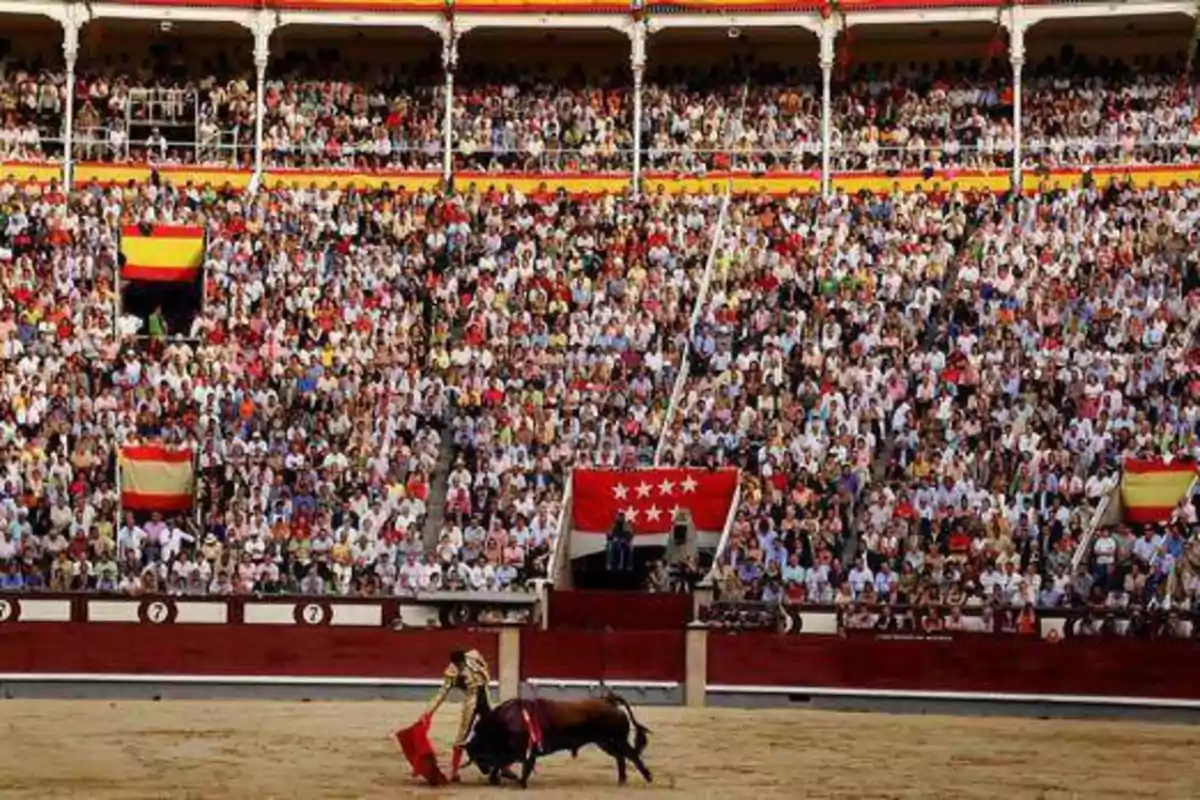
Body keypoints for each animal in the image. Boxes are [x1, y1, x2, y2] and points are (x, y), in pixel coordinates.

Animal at [460, 690, 652, 786]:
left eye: (478, 753)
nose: (483, 770)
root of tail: (608, 701)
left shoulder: (520, 751)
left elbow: (511, 764)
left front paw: (519, 782)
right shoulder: (519, 752)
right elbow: (505, 765)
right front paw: (503, 779)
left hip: (616, 739)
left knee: (632, 755)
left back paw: (647, 777)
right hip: (605, 742)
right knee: (621, 757)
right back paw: (621, 780)